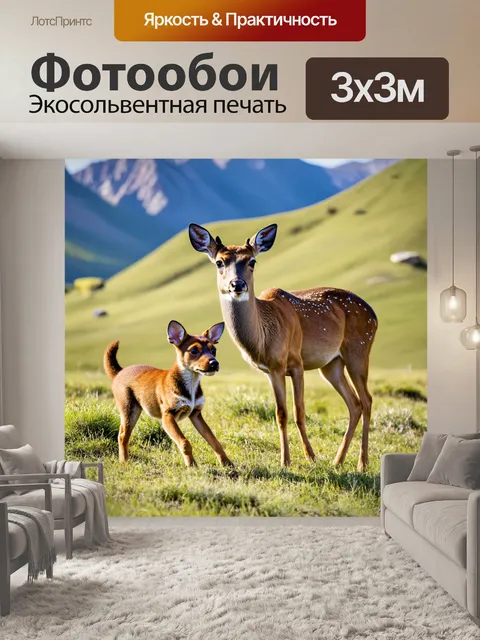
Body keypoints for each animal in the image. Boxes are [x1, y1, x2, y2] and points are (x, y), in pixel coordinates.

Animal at [104, 320, 234, 468]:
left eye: (214, 351)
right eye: (194, 350)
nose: (214, 363)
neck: (191, 382)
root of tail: (119, 372)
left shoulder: (196, 414)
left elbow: (213, 440)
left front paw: (227, 463)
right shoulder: (167, 416)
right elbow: (184, 442)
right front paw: (192, 465)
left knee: (121, 433)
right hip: (130, 410)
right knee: (123, 436)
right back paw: (125, 461)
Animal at [188, 222, 378, 472]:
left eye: (252, 261)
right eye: (219, 262)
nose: (237, 284)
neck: (264, 337)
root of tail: (374, 316)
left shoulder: (296, 362)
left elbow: (298, 412)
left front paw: (308, 456)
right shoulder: (271, 370)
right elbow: (280, 413)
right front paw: (286, 460)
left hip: (359, 349)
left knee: (366, 400)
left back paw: (362, 463)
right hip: (331, 364)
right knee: (354, 403)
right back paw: (338, 460)